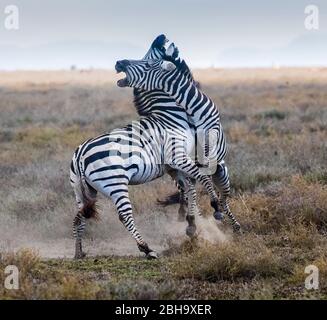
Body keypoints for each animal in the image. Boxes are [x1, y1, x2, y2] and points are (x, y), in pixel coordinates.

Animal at [116, 45, 242, 232]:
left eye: (148, 63)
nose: (119, 62)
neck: (187, 110)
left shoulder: (206, 148)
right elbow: (192, 186)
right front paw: (190, 216)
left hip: (222, 174)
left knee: (223, 198)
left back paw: (232, 223)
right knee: (190, 190)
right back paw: (189, 217)